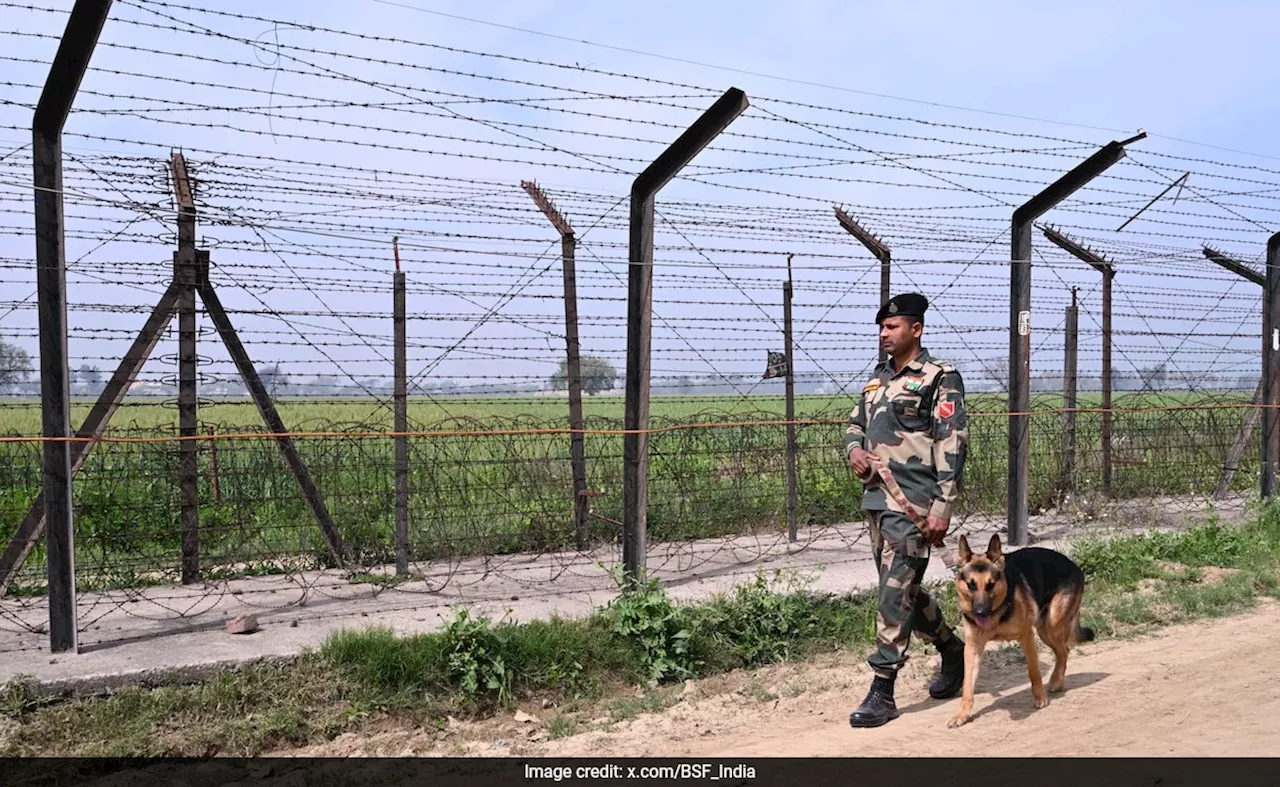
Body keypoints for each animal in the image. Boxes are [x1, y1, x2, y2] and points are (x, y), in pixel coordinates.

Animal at [947, 532, 1095, 731]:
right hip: (1044, 630)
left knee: (1064, 651)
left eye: (990, 584)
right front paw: (962, 715)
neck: (997, 611)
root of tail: (1073, 564)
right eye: (971, 585)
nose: (980, 612)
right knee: (1063, 650)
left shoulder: (1027, 637)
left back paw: (1056, 682)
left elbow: (1034, 671)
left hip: (1053, 624)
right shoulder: (972, 649)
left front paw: (1040, 698)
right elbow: (968, 686)